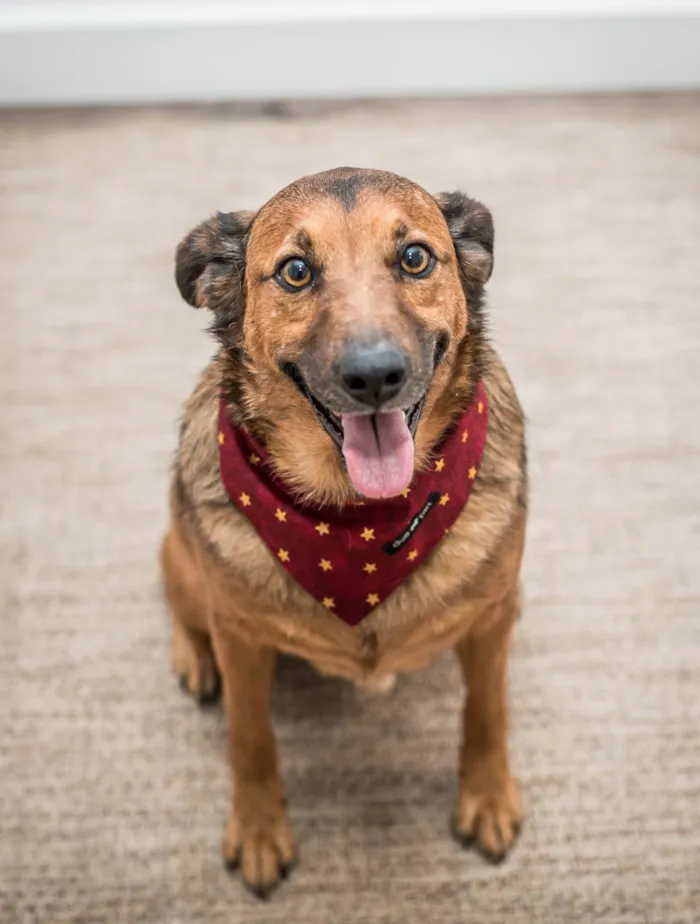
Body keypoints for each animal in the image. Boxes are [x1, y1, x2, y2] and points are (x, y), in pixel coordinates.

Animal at [161, 166, 528, 896]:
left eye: (415, 258)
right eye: (297, 271)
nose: (375, 376)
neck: (362, 520)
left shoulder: (490, 623)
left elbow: (487, 712)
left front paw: (488, 797)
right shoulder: (242, 639)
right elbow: (250, 741)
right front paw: (259, 830)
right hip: (184, 556)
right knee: (178, 591)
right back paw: (195, 658)